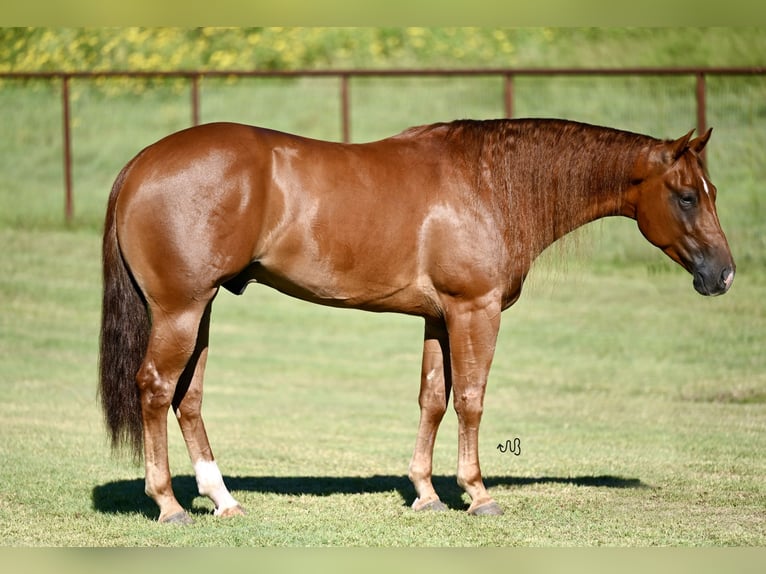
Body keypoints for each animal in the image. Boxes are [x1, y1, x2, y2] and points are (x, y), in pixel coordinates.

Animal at [99, 119, 736, 524]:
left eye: (711, 190)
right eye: (686, 196)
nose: (724, 275)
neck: (489, 185)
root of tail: (140, 164)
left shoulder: (439, 318)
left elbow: (433, 399)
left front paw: (427, 494)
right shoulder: (474, 310)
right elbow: (472, 399)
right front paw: (478, 495)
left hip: (201, 310)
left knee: (188, 398)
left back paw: (223, 500)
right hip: (181, 310)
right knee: (156, 389)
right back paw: (170, 505)